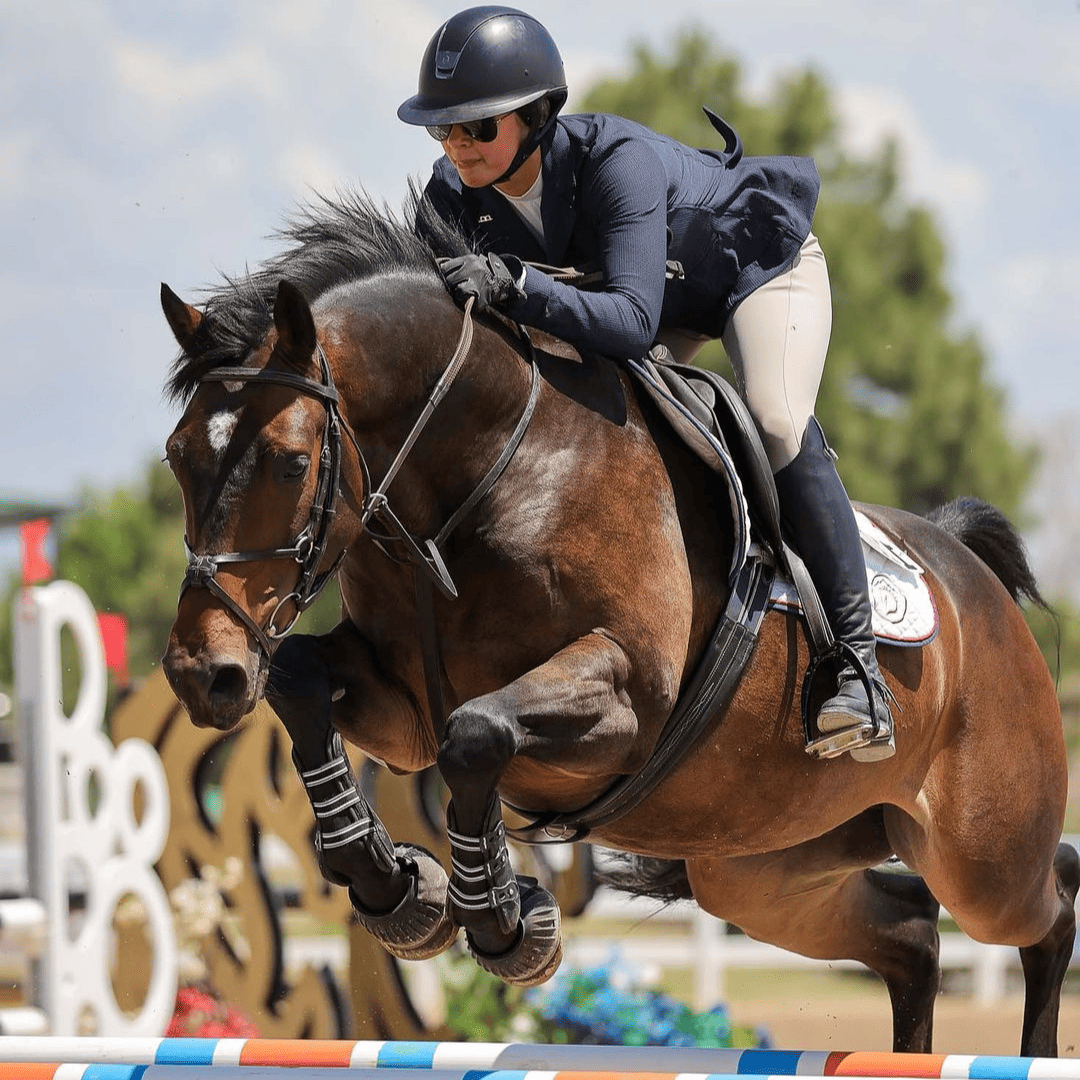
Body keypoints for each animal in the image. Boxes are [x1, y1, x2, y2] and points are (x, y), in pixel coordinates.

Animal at [160, 190, 1078, 1056]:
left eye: (289, 462)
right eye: (178, 455)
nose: (203, 674)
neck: (481, 477)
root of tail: (970, 573)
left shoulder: (627, 698)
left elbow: (477, 733)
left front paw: (503, 921)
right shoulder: (400, 707)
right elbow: (307, 683)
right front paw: (395, 888)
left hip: (982, 857)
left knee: (1048, 907)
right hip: (763, 870)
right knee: (913, 936)